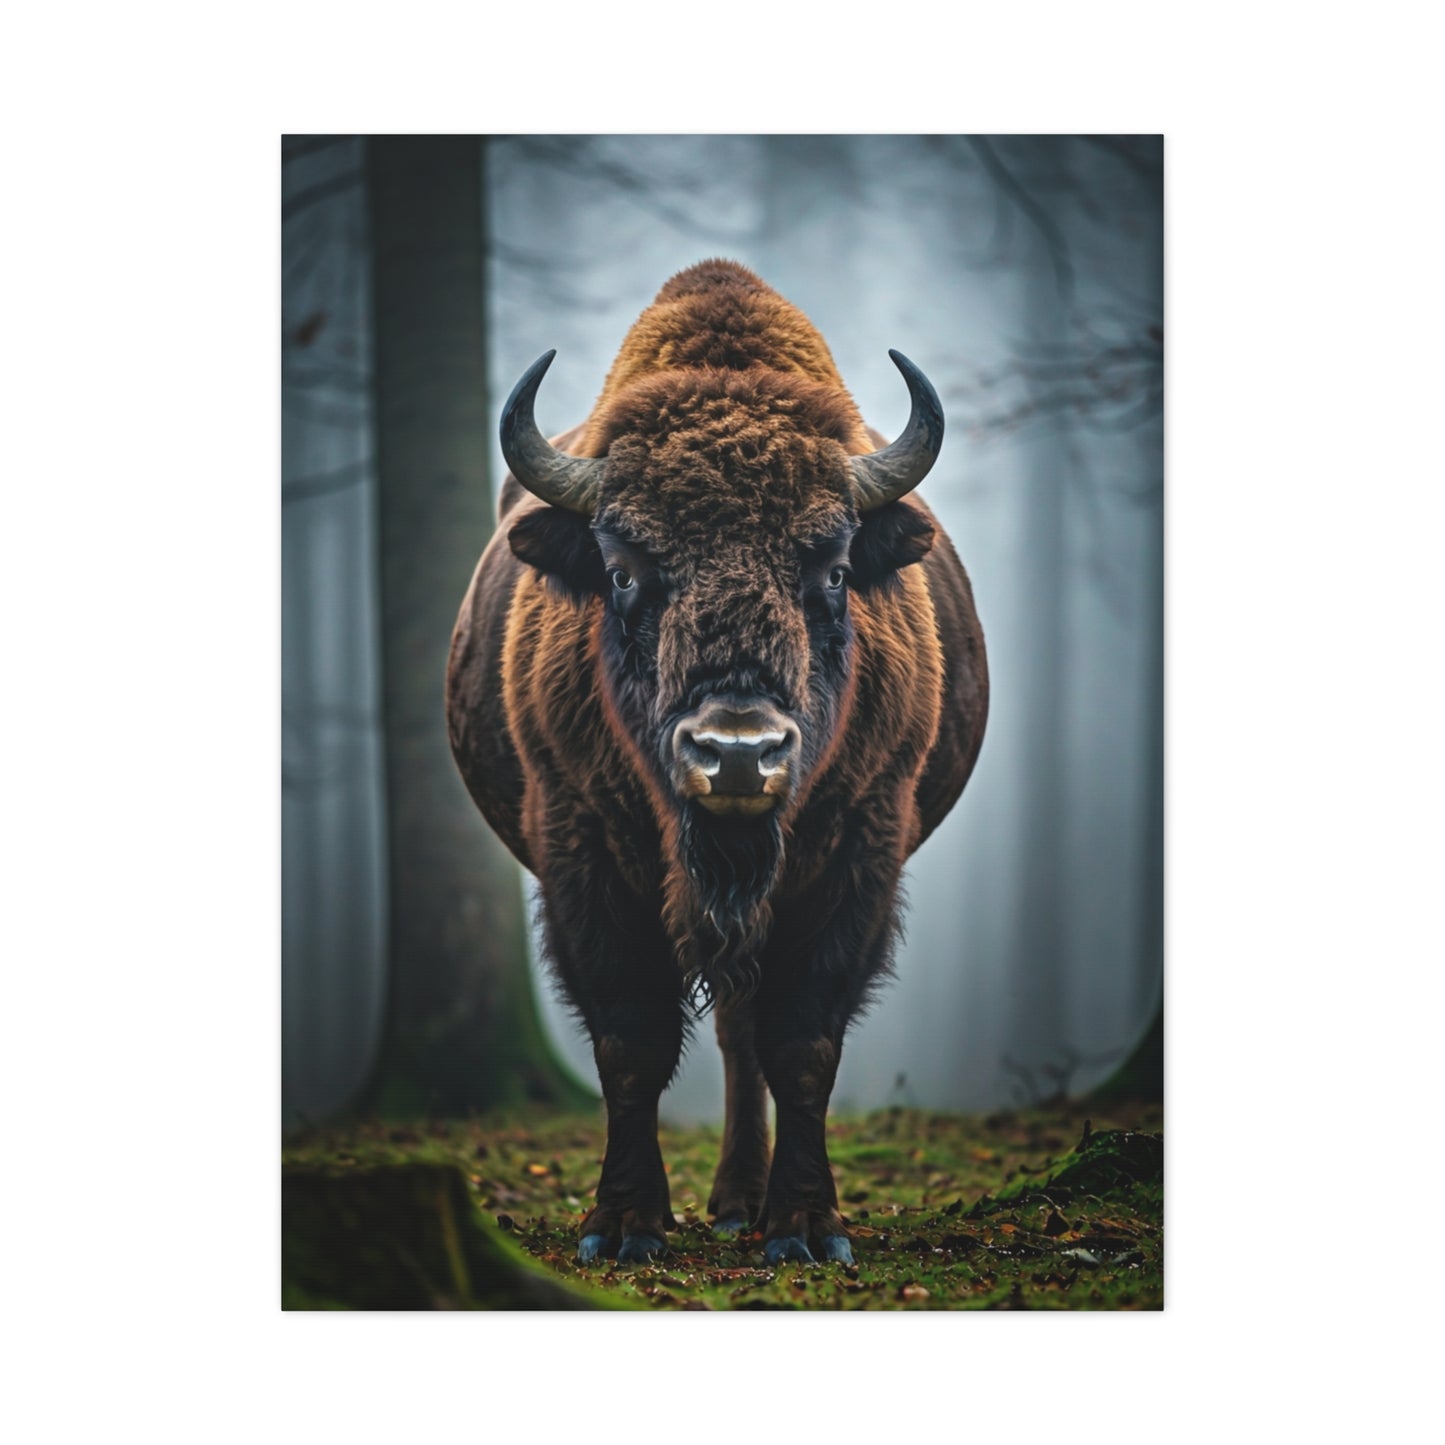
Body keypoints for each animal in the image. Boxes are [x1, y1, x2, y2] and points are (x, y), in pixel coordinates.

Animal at [447, 260, 988, 1265]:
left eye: (834, 569)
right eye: (623, 570)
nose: (737, 755)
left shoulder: (858, 849)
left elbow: (803, 1042)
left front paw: (807, 1226)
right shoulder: (580, 848)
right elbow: (630, 1040)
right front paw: (623, 1224)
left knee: (745, 1032)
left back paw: (744, 1202)